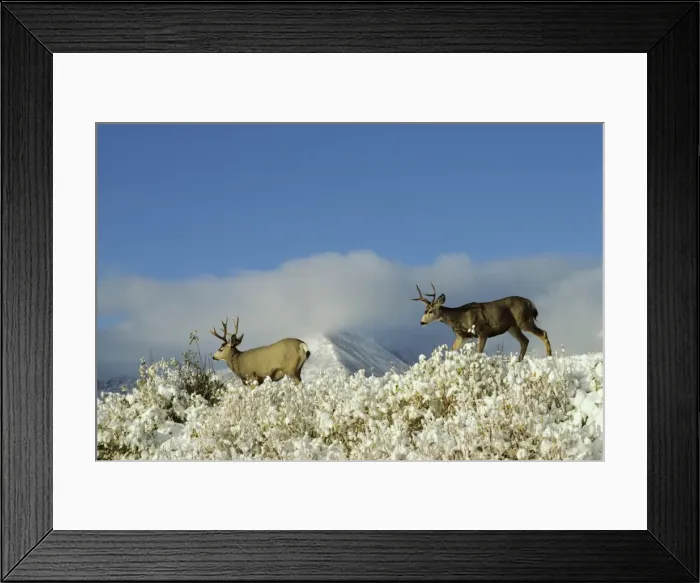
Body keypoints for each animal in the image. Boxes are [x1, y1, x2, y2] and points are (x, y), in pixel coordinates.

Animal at [412, 282, 552, 362]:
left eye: (430, 311)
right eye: (424, 310)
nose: (421, 322)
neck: (460, 317)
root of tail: (530, 303)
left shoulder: (482, 331)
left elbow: (478, 353)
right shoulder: (462, 336)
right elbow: (450, 352)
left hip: (524, 321)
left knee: (543, 333)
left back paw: (549, 357)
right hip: (513, 327)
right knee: (525, 341)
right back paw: (518, 361)